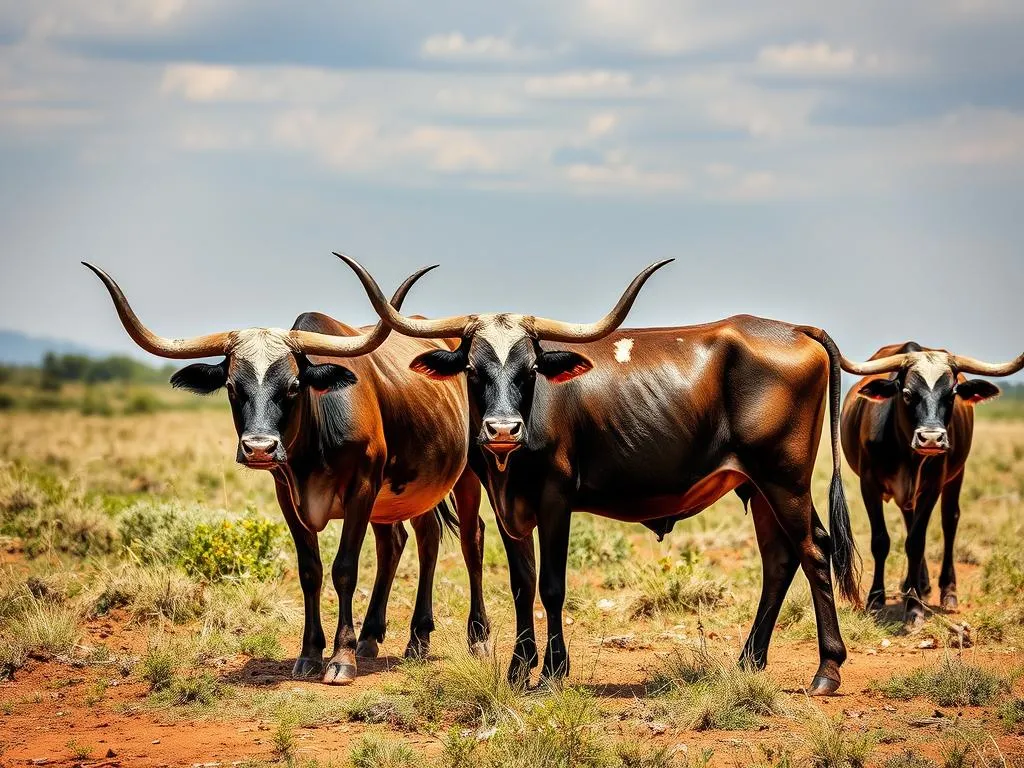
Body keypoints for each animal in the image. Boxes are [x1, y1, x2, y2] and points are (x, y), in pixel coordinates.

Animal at [83, 260, 491, 684]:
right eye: (232, 386)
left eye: (294, 385)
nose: (260, 448)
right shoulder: (288, 496)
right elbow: (310, 570)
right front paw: (310, 653)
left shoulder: (361, 489)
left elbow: (344, 569)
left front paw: (341, 658)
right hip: (406, 491)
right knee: (411, 541)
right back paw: (390, 638)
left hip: (464, 474)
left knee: (470, 538)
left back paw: (472, 638)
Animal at [337, 253, 864, 696]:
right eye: (472, 367)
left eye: (530, 369)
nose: (503, 429)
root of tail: (796, 329)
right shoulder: (508, 506)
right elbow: (522, 582)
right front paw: (518, 667)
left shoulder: (555, 500)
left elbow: (552, 585)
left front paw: (552, 671)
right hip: (757, 487)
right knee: (780, 559)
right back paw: (749, 661)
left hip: (784, 479)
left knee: (815, 550)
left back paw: (827, 669)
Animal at [839, 342, 1024, 626]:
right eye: (907, 393)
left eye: (951, 394)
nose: (931, 438)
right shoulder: (868, 484)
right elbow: (880, 541)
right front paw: (876, 599)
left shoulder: (933, 486)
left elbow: (916, 542)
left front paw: (914, 607)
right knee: (909, 519)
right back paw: (917, 585)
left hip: (956, 476)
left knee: (949, 522)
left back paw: (945, 591)